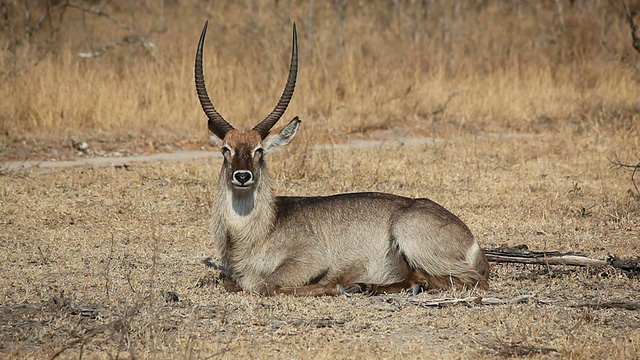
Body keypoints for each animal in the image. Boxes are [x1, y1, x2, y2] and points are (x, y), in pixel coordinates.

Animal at [195, 22, 490, 296]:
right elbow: (232, 281)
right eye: (226, 149)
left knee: (467, 280)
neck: (260, 230)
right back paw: (369, 285)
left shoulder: (311, 260)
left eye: (259, 150)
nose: (242, 176)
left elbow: (261, 284)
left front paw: (333, 286)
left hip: (409, 234)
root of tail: (472, 242)